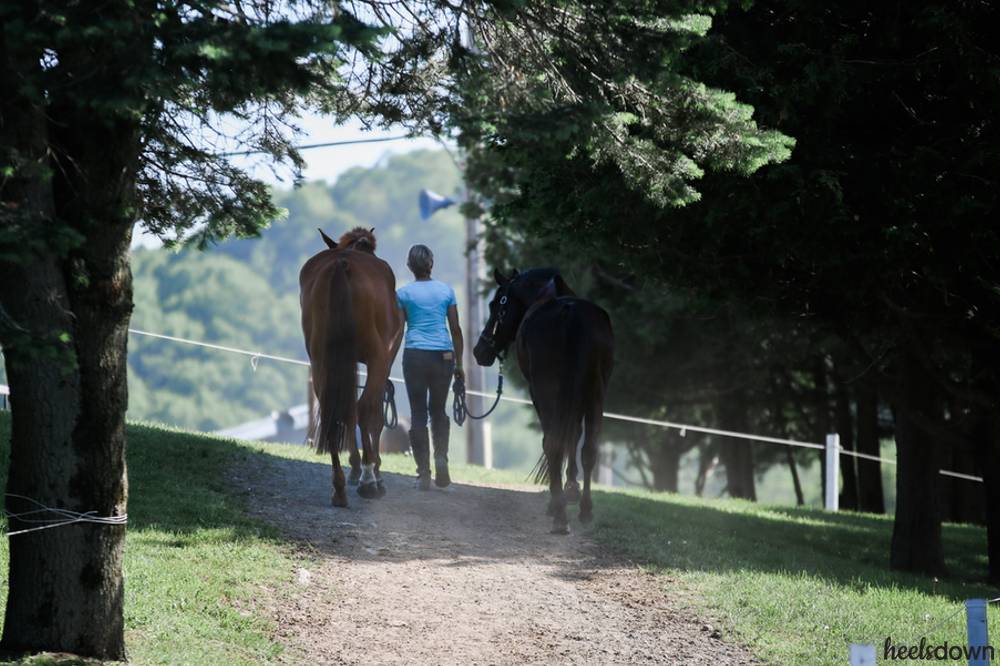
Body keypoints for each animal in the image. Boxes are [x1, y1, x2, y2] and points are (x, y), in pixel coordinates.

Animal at [300, 227, 403, 506]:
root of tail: (341, 264)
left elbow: (348, 411)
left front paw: (355, 467)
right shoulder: (383, 362)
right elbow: (373, 414)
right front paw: (373, 470)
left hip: (321, 361)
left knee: (333, 411)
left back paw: (339, 487)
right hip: (377, 359)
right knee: (366, 408)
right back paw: (369, 481)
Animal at [473, 267, 614, 534]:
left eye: (495, 305)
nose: (479, 351)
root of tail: (571, 314)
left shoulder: (539, 393)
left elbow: (555, 439)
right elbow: (573, 436)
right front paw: (571, 489)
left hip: (548, 391)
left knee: (552, 443)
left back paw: (558, 513)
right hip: (595, 393)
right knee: (589, 448)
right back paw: (585, 510)